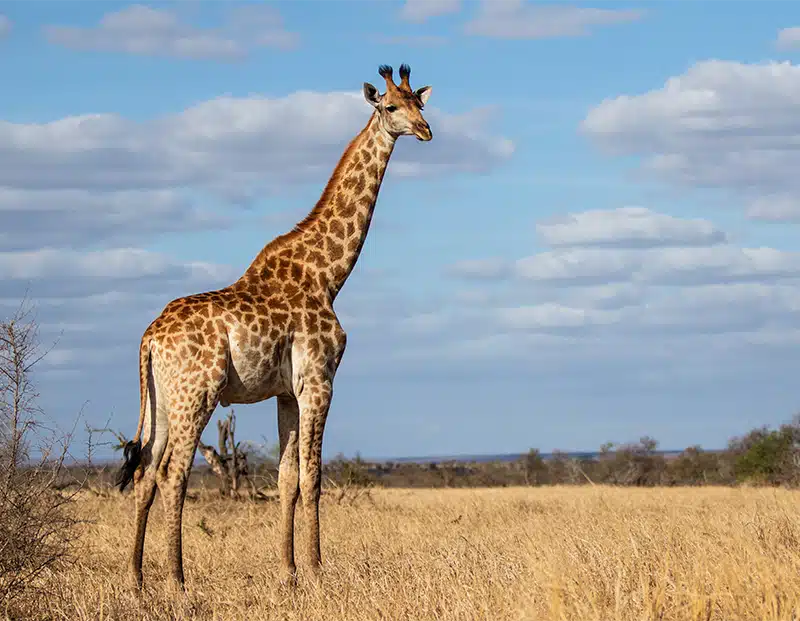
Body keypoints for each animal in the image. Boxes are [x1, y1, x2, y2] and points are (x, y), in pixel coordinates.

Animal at [116, 63, 433, 590]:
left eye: (421, 103)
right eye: (391, 107)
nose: (427, 131)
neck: (327, 275)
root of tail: (149, 338)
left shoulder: (286, 391)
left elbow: (287, 479)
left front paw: (289, 572)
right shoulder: (320, 381)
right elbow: (313, 477)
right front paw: (319, 569)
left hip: (160, 398)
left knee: (144, 471)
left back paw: (137, 581)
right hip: (197, 393)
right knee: (173, 473)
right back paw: (177, 581)